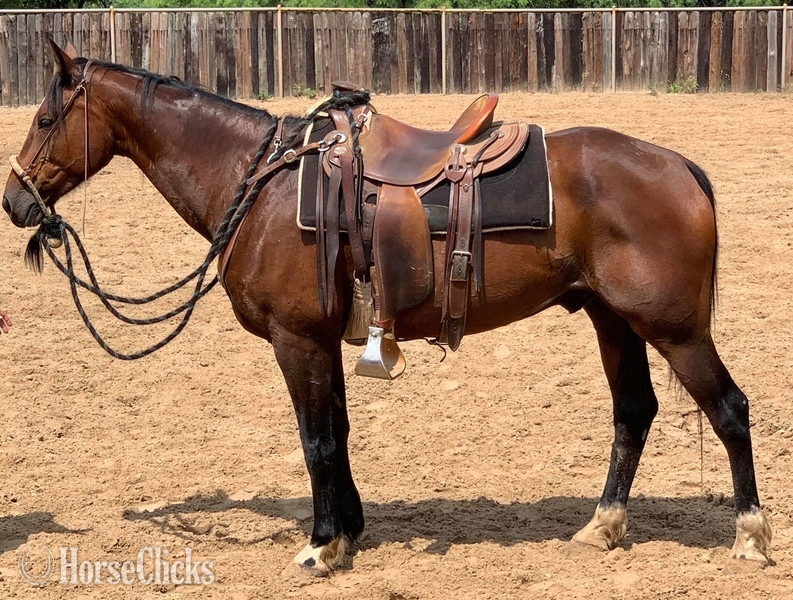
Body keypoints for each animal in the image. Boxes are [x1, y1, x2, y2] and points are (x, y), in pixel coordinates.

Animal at [3, 42, 771, 575]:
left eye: (44, 117)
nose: (15, 202)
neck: (259, 184)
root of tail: (677, 166)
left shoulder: (296, 339)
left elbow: (315, 439)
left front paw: (319, 547)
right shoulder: (320, 340)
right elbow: (336, 434)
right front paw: (348, 530)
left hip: (674, 329)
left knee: (729, 409)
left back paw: (750, 537)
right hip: (612, 319)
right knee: (633, 411)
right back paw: (602, 526)